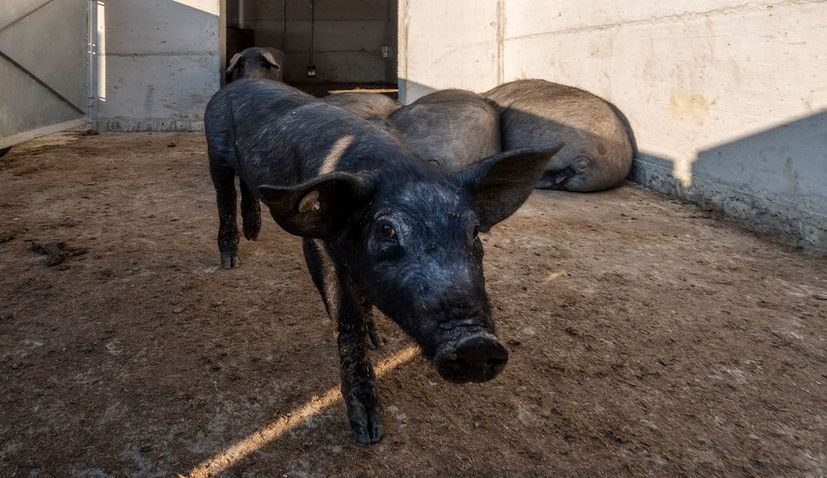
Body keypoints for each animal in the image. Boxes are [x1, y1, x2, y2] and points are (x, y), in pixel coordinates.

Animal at [205, 79, 562, 443]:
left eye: (474, 230)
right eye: (386, 229)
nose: (476, 343)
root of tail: (235, 84)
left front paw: (379, 340)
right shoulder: (318, 242)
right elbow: (346, 319)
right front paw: (368, 433)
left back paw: (254, 234)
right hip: (214, 148)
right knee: (224, 194)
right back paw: (230, 260)